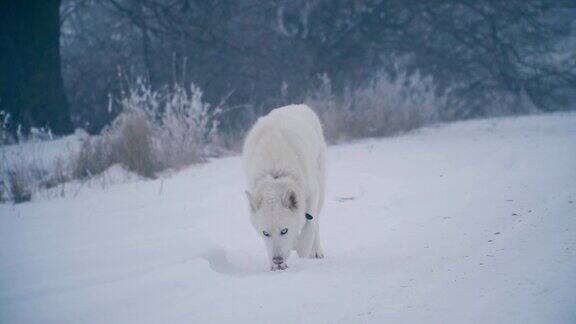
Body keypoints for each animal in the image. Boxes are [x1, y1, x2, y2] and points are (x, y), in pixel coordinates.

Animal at [242, 104, 326, 270]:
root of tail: (299, 105)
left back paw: (315, 250)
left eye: (284, 231)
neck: (275, 174)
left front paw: (301, 245)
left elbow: (308, 229)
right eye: (265, 233)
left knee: (316, 222)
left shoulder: (312, 193)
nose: (277, 260)